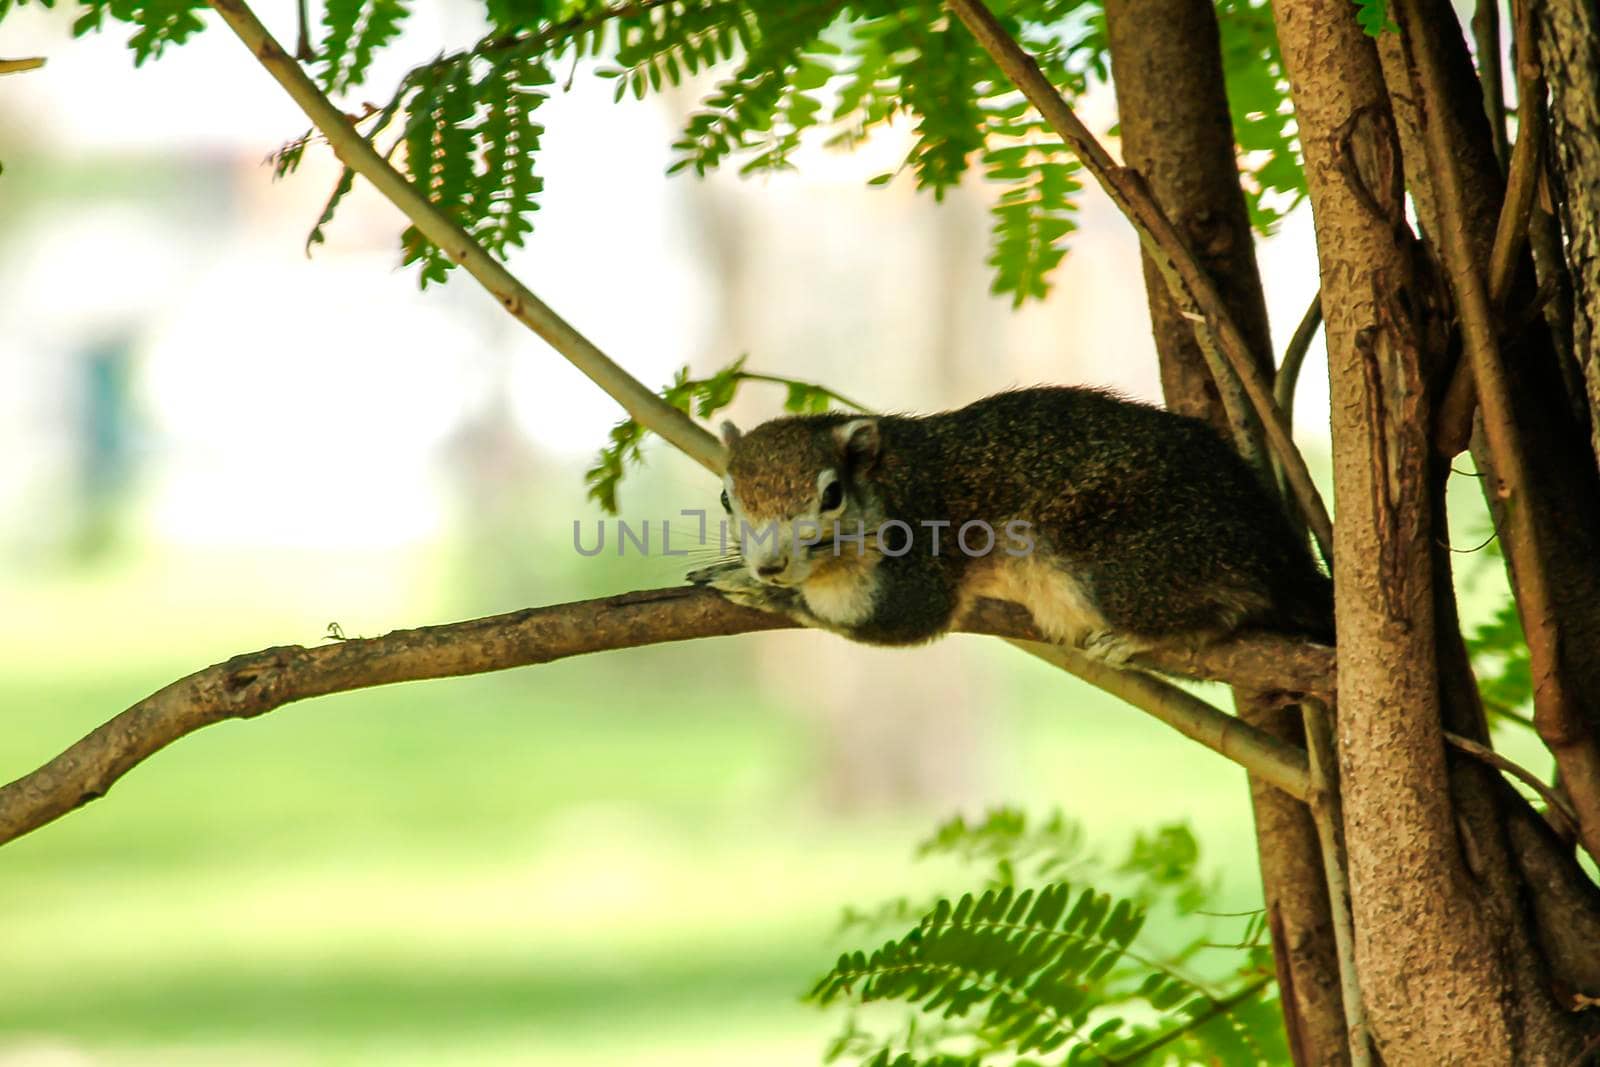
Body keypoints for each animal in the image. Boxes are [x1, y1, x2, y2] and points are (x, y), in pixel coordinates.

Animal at [694, 388, 1331, 662]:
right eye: (726, 497)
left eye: (831, 495)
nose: (770, 566)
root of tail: (1282, 553)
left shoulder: (923, 551)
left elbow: (897, 617)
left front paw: (756, 589)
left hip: (1133, 572)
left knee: (1233, 605)